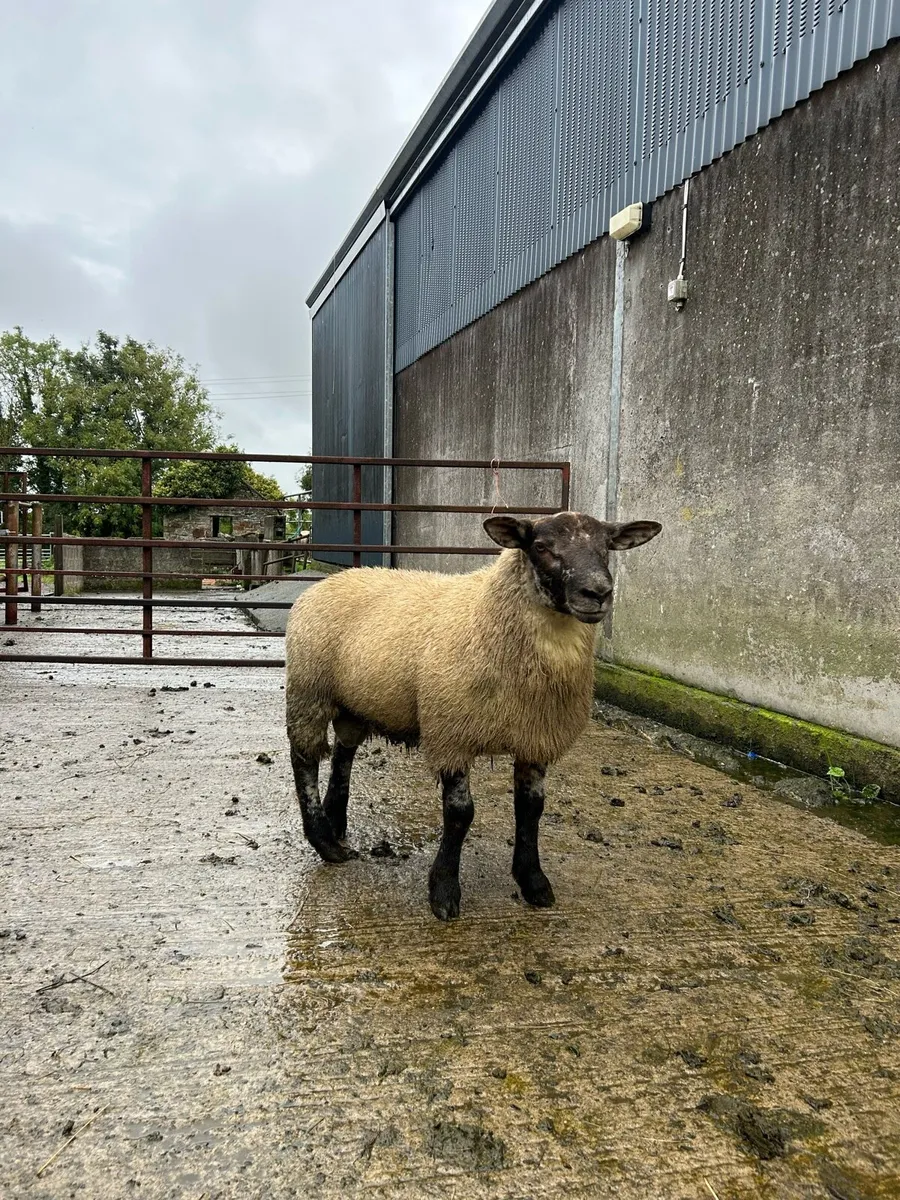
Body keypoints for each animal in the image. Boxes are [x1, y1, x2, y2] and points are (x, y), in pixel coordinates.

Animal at [284, 510, 661, 919]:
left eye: (607, 547)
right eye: (540, 546)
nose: (597, 593)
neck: (487, 615)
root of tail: (334, 579)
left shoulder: (535, 737)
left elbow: (531, 809)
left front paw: (533, 882)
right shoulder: (451, 732)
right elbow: (460, 814)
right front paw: (444, 891)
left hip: (354, 700)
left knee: (343, 754)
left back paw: (336, 823)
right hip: (309, 690)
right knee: (304, 759)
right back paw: (325, 842)